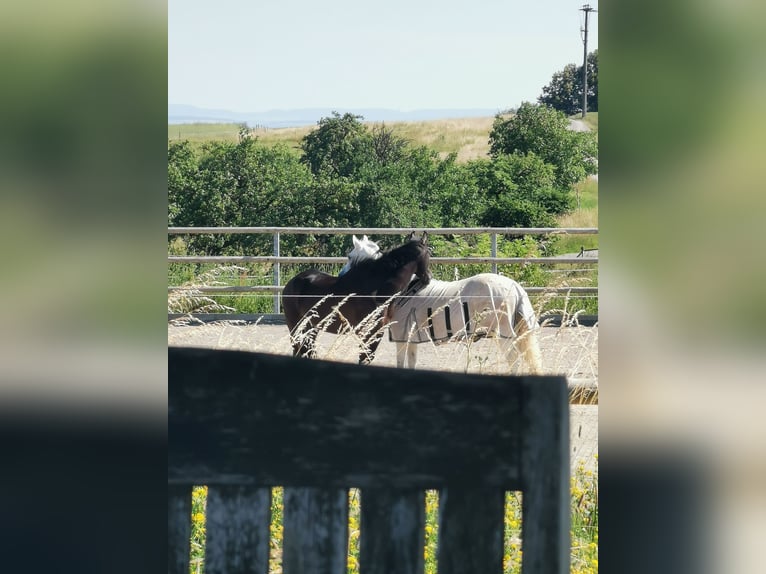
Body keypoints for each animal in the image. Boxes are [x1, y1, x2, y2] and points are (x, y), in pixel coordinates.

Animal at [284, 233, 436, 364]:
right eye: (429, 253)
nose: (428, 277)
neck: (377, 289)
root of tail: (292, 282)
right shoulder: (368, 332)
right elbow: (365, 358)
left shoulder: (378, 331)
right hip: (296, 327)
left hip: (311, 327)